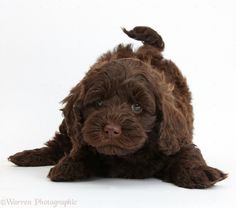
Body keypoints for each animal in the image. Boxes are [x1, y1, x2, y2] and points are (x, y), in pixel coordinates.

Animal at [8, 26, 227, 188]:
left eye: (137, 107)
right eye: (98, 103)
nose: (111, 129)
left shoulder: (175, 137)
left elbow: (188, 153)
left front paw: (200, 173)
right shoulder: (84, 134)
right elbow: (83, 148)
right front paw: (69, 165)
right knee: (58, 143)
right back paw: (26, 156)